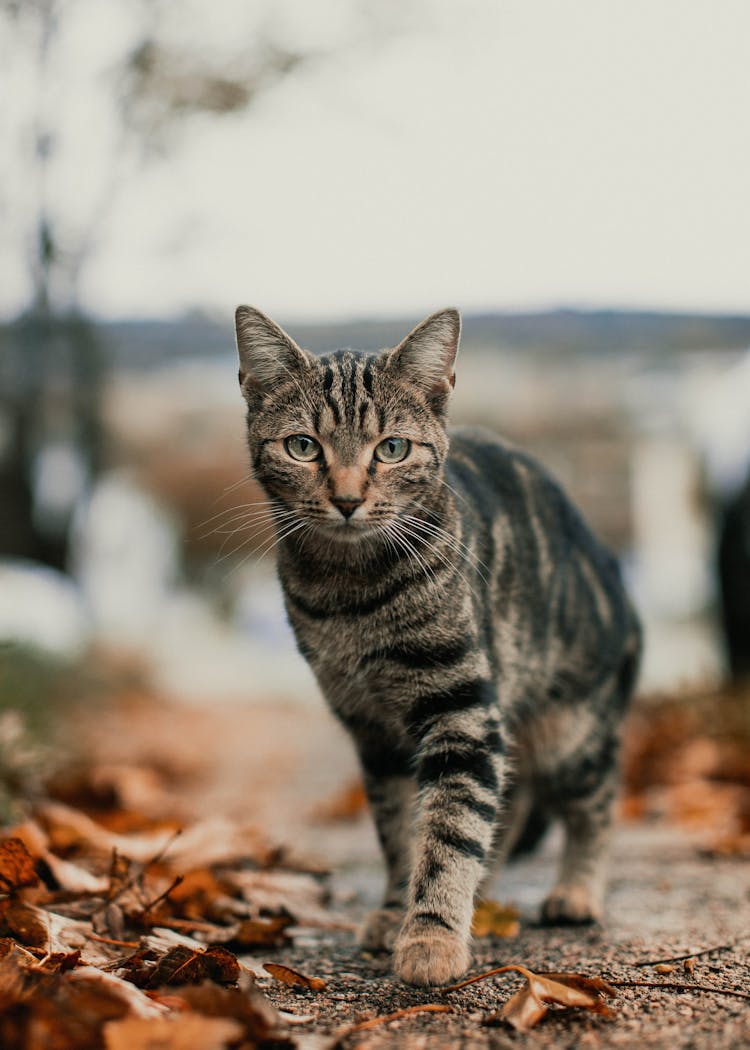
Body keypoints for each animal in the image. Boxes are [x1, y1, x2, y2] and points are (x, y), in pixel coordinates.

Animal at [232, 304, 638, 982]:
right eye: (302, 446)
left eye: (392, 448)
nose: (348, 499)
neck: (351, 596)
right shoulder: (374, 731)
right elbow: (401, 832)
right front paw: (397, 912)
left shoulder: (461, 711)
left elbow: (449, 830)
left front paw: (431, 936)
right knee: (513, 802)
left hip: (570, 726)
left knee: (595, 798)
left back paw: (576, 890)